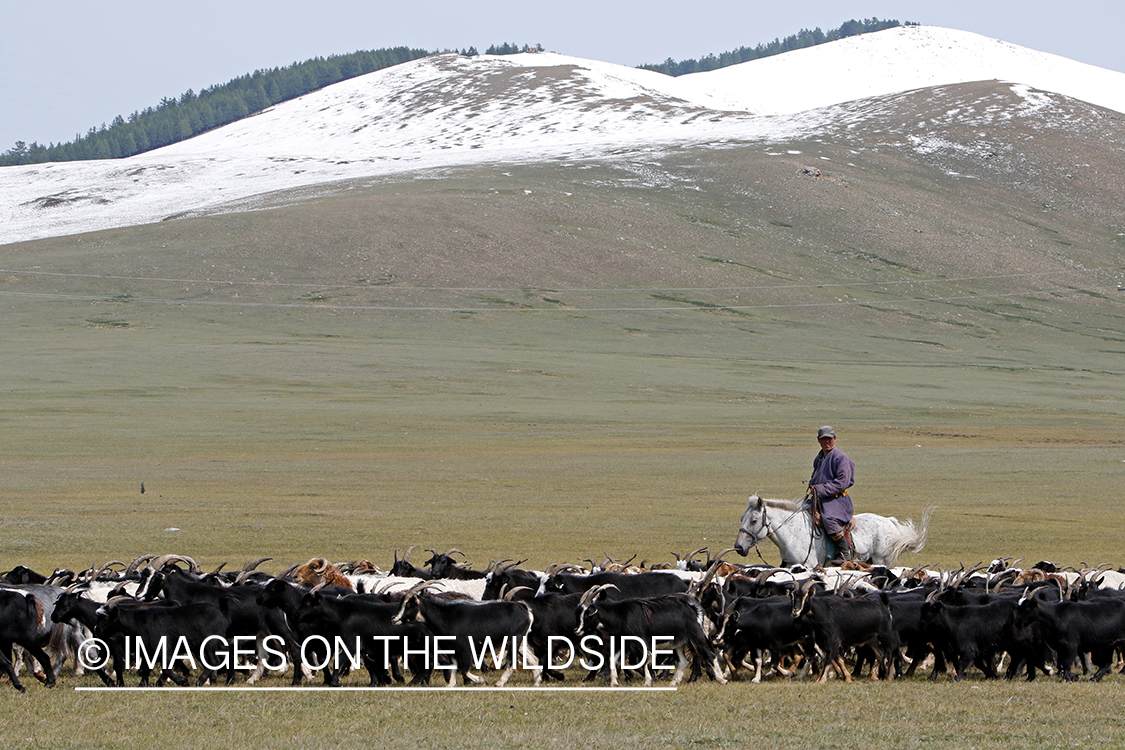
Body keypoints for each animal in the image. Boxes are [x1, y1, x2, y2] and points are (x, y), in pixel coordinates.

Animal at [729, 494, 931, 566]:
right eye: (741, 519)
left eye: (754, 520)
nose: (738, 547)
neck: (793, 535)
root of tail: (890, 522)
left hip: (881, 561)